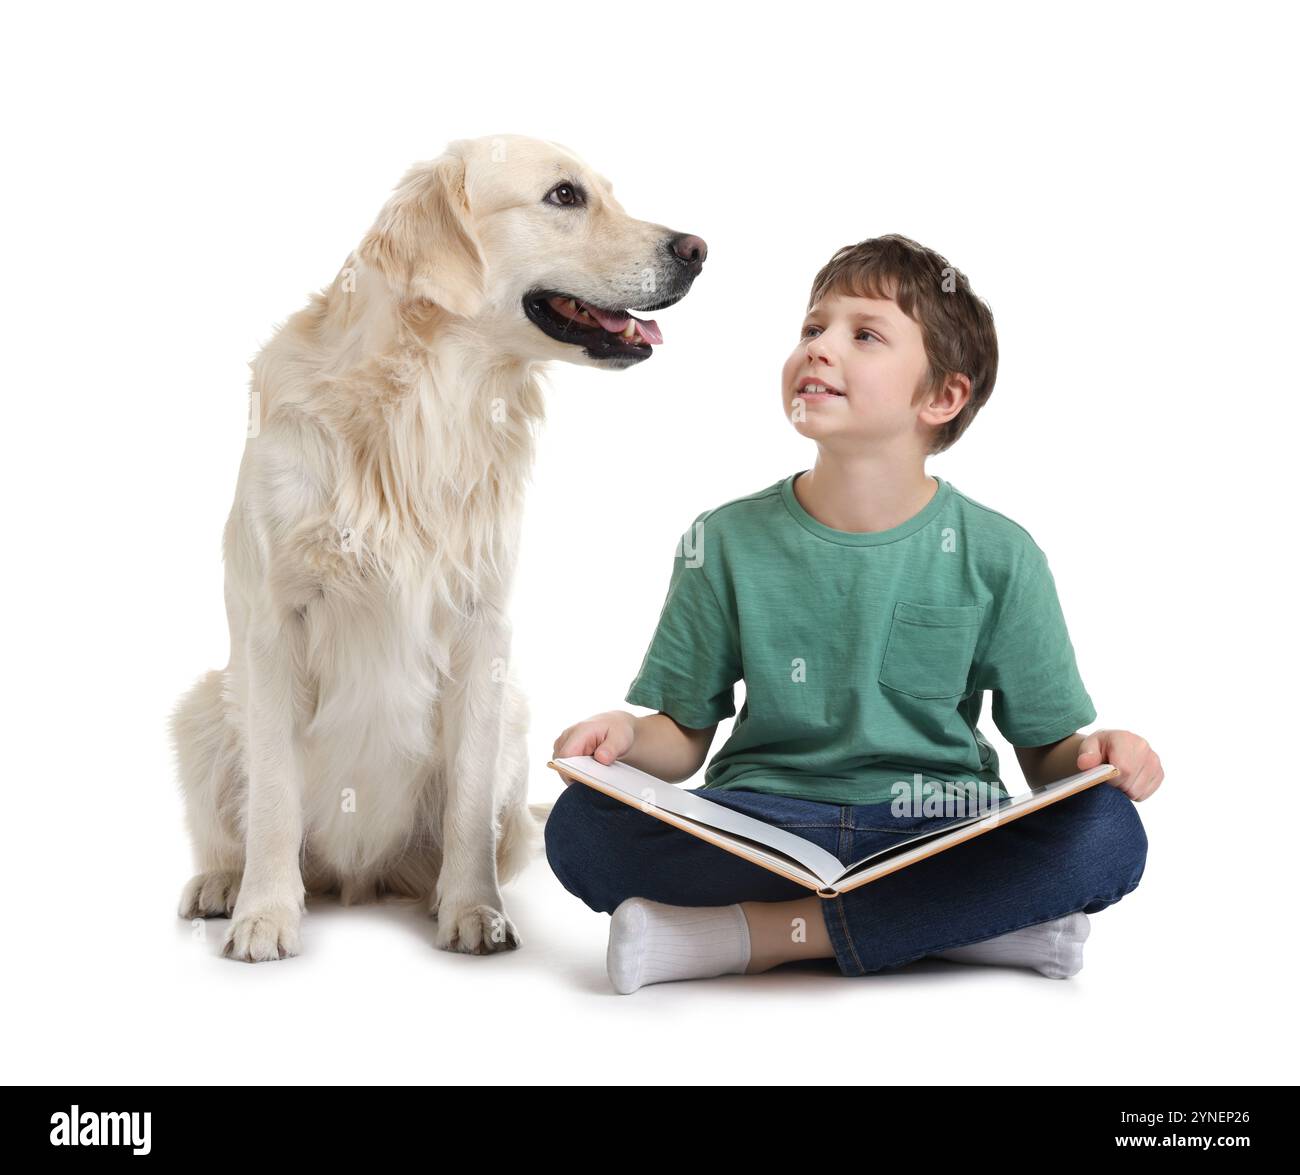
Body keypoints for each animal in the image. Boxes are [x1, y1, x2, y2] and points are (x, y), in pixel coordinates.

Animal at [170, 135, 712, 961]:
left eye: (608, 193)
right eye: (564, 196)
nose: (697, 249)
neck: (428, 404)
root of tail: (356, 878)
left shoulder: (482, 625)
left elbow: (467, 800)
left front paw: (473, 910)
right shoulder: (273, 622)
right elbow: (273, 797)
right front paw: (265, 914)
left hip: (515, 714)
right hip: (203, 705)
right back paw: (222, 885)